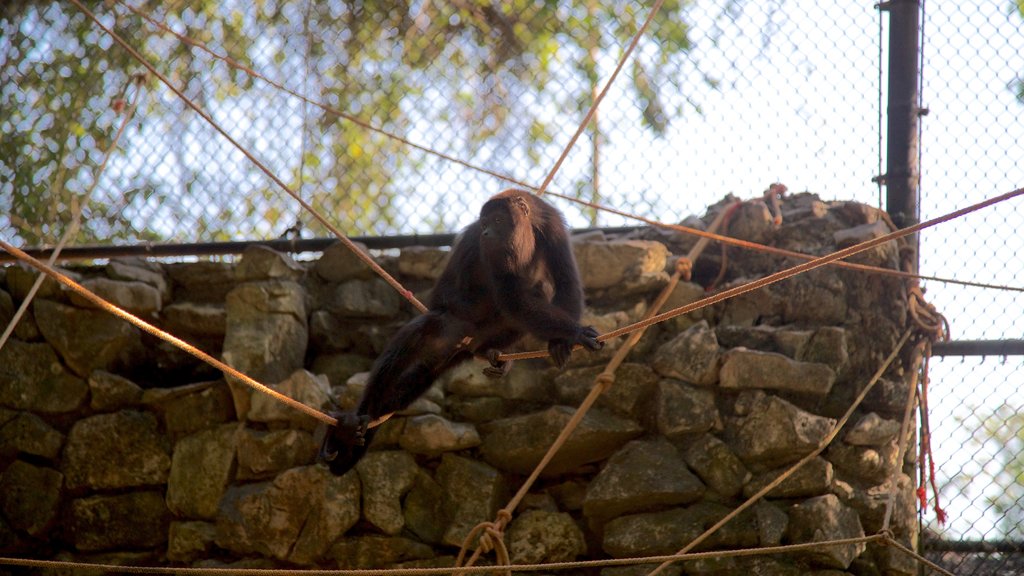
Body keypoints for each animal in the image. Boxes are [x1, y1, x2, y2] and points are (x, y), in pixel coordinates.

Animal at [319, 190, 598, 473]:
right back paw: (354, 421)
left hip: (461, 348)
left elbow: (564, 282)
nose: (487, 232)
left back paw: (491, 351)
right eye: (484, 223)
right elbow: (511, 297)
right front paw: (573, 333)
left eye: (498, 220)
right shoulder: (487, 248)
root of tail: (467, 344)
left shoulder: (553, 227)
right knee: (423, 331)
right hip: (447, 333)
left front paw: (561, 342)